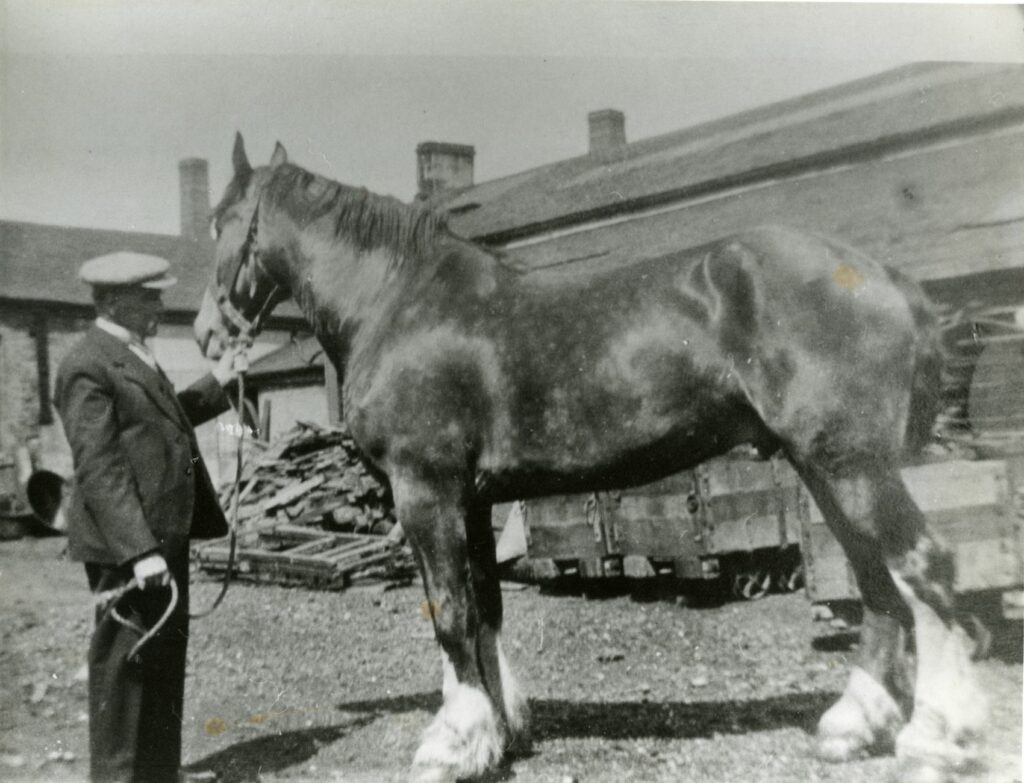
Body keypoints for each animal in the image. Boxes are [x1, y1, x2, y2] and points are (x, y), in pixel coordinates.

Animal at [194, 133, 986, 783]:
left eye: (220, 223)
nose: (205, 333)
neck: (396, 300)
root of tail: (881, 274)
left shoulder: (427, 489)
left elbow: (448, 610)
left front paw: (452, 744)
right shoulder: (473, 500)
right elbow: (483, 607)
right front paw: (499, 732)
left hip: (853, 467)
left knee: (925, 569)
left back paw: (936, 739)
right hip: (823, 468)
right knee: (877, 583)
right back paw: (854, 726)